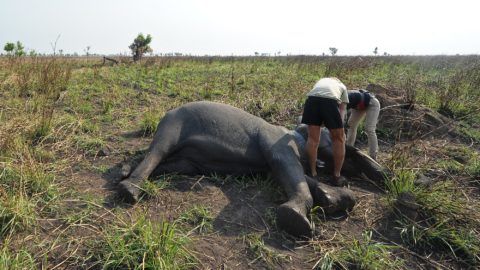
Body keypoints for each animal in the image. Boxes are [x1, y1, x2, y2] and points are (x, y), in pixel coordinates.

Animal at [118, 100, 388, 236]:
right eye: (330, 138)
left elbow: (286, 174)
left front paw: (336, 198)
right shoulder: (276, 141)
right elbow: (286, 166)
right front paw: (297, 219)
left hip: (185, 158)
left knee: (172, 163)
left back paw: (125, 171)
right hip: (172, 122)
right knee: (159, 150)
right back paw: (129, 190)